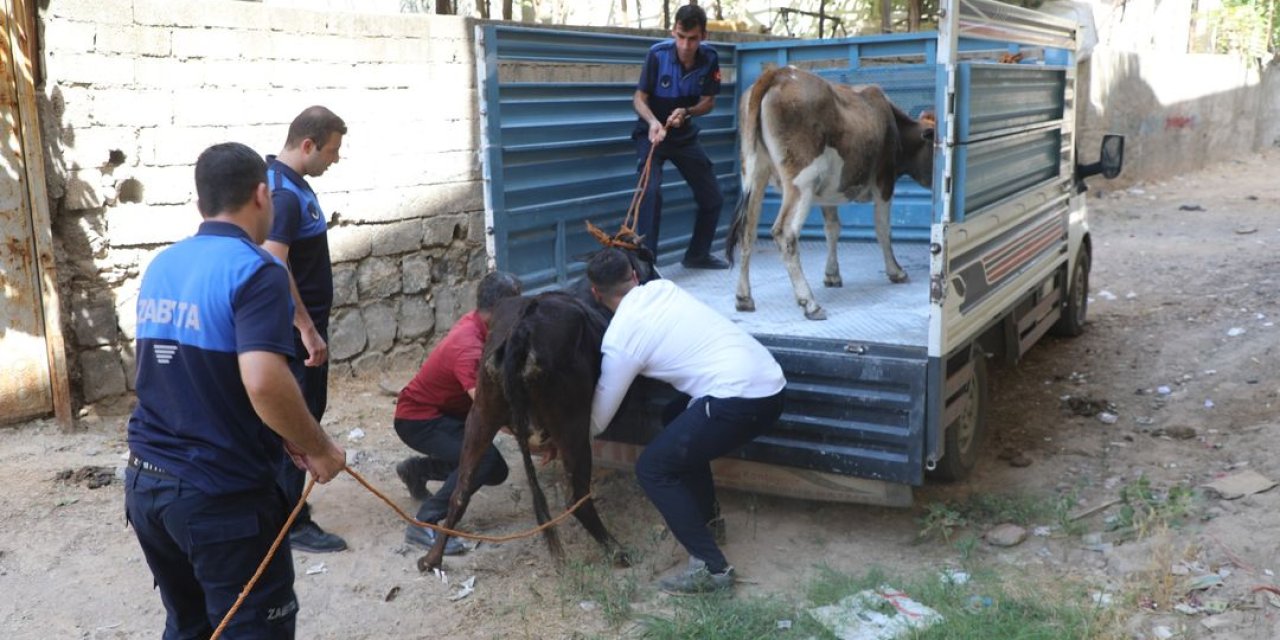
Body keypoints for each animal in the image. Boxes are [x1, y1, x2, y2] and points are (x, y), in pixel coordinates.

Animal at [727, 64, 936, 320]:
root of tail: (777, 73)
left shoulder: (828, 190)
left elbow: (832, 229)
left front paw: (832, 275)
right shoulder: (884, 181)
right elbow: (882, 229)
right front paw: (896, 271)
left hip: (755, 172)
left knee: (747, 230)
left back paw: (744, 297)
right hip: (801, 181)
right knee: (785, 233)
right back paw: (809, 302)